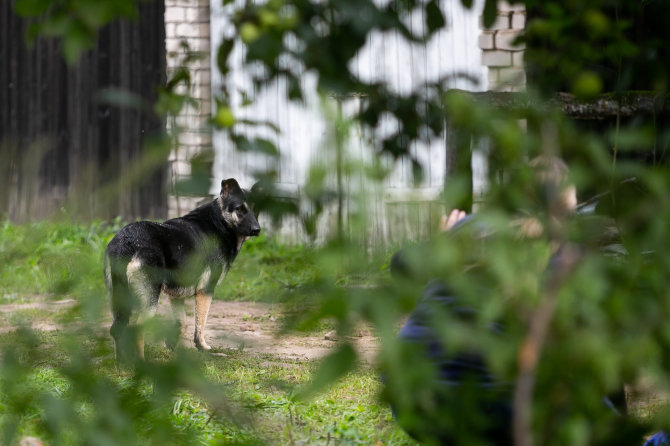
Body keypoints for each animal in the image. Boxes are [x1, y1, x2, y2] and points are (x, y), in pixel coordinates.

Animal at [105, 179, 262, 362]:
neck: (221, 221)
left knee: (117, 328)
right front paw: (203, 348)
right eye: (239, 209)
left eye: (255, 210)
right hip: (150, 300)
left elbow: (182, 323)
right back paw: (140, 362)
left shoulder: (176, 295)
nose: (257, 230)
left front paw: (172, 346)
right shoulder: (205, 291)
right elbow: (200, 325)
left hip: (119, 299)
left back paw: (120, 362)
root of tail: (126, 243)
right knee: (136, 329)